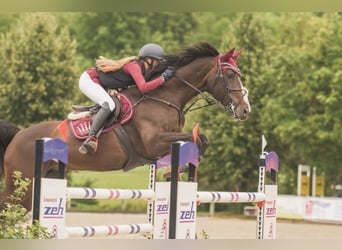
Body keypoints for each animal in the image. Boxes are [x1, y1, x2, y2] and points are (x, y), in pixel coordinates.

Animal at [0, 42, 251, 210]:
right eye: (230, 75)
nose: (245, 110)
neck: (163, 97)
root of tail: (19, 135)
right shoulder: (154, 142)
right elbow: (195, 138)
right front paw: (171, 172)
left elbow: (200, 141)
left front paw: (172, 172)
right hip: (20, 182)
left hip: (39, 180)